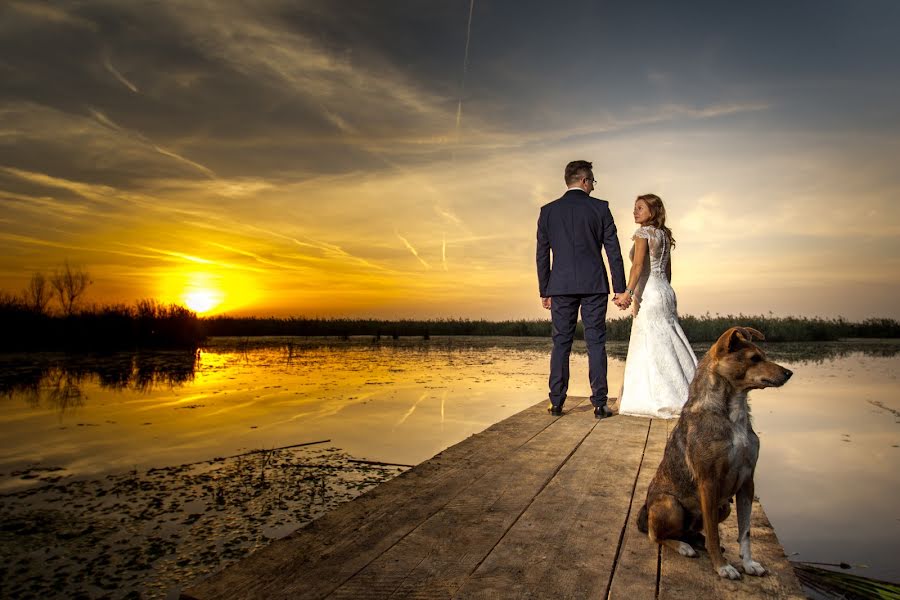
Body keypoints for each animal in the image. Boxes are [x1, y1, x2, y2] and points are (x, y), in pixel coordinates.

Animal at [636, 326, 792, 580]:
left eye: (764, 355)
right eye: (754, 359)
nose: (789, 372)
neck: (732, 412)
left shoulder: (747, 481)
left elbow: (745, 532)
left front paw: (749, 563)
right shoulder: (709, 481)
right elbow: (714, 533)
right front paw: (722, 567)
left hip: (724, 505)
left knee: (690, 532)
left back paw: (695, 541)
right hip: (671, 505)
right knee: (656, 535)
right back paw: (684, 546)